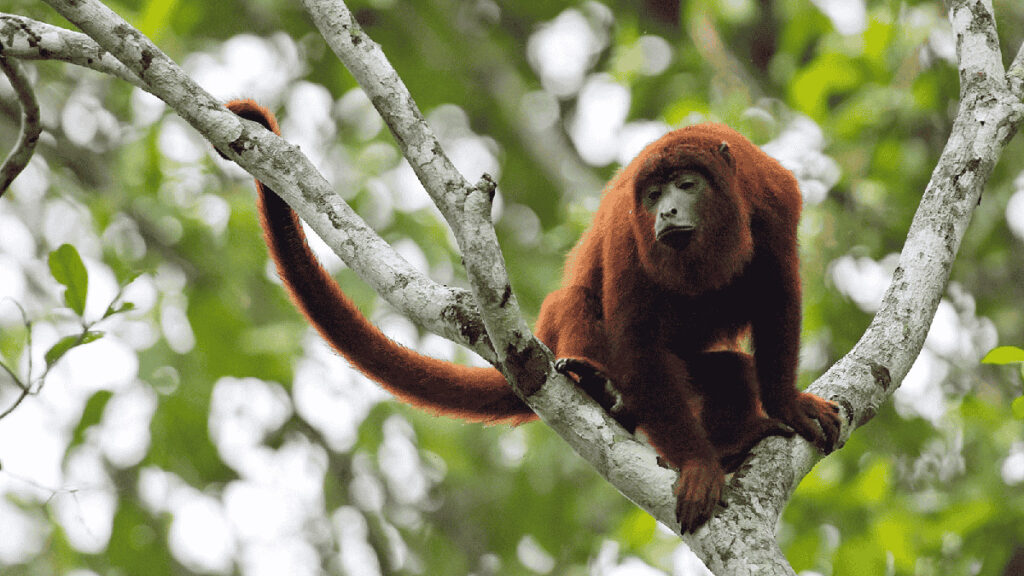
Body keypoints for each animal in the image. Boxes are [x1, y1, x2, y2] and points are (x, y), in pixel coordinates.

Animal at [223, 99, 841, 532]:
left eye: (687, 185)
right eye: (652, 195)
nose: (666, 211)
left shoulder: (774, 198)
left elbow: (780, 298)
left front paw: (785, 406)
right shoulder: (627, 232)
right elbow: (635, 335)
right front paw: (697, 467)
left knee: (731, 370)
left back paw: (735, 436)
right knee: (579, 306)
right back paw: (598, 387)